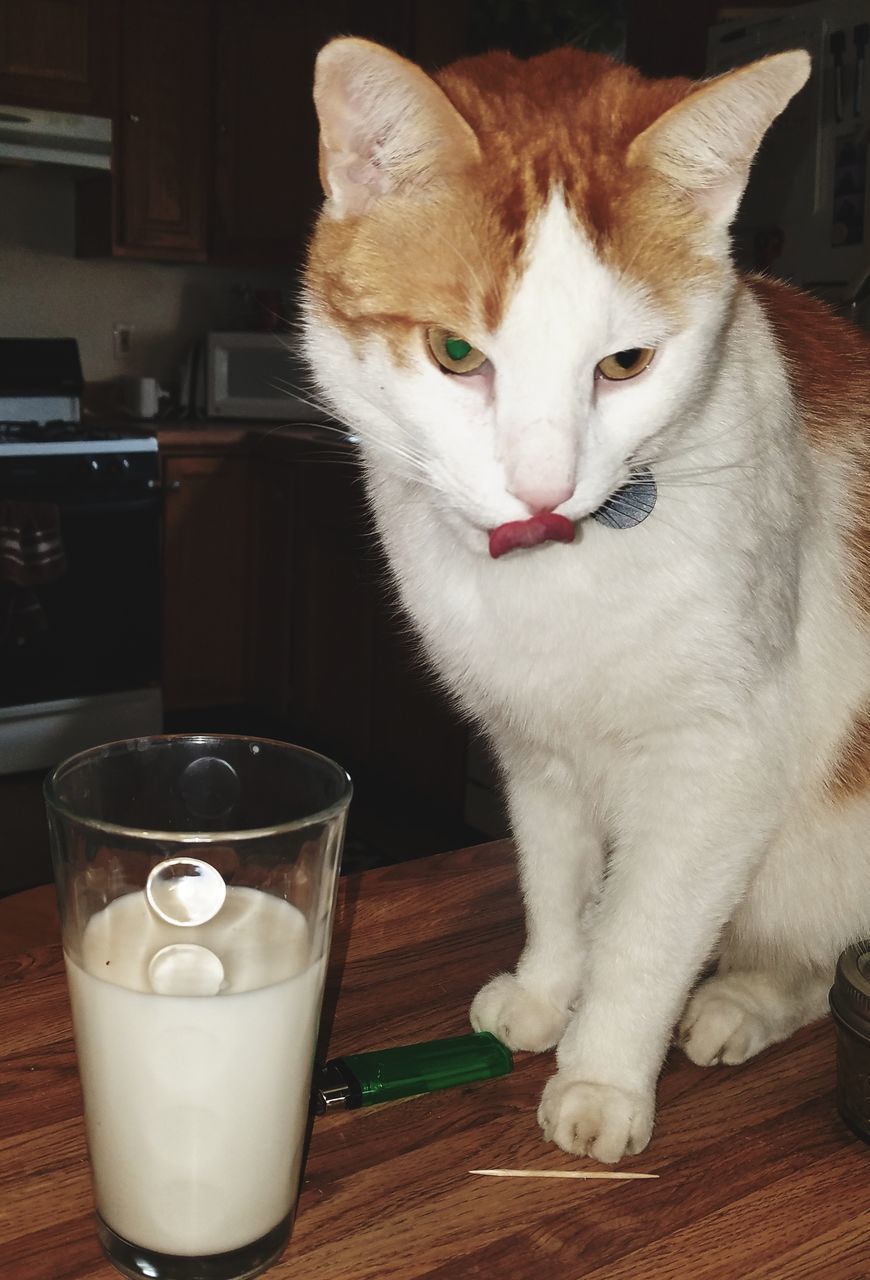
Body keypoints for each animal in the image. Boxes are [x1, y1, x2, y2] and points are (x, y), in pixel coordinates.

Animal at [301, 40, 870, 1167]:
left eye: (626, 363)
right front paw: (547, 989)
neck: (551, 574)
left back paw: (736, 1002)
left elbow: (645, 936)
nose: (543, 487)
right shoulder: (532, 749)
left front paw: (603, 1072)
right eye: (456, 354)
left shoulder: (721, 766)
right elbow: (557, 886)